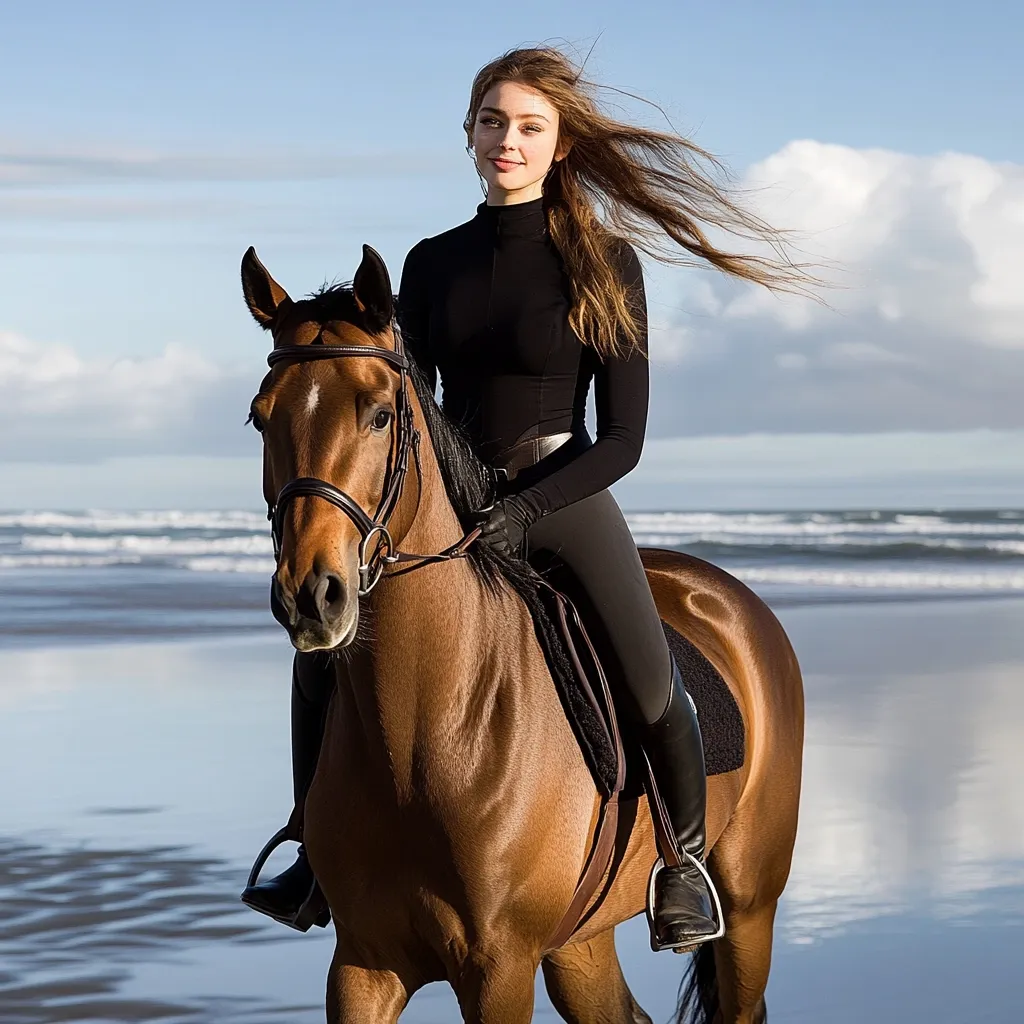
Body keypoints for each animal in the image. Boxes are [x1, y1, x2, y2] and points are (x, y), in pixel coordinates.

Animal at [240, 243, 804, 1024]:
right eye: (260, 419)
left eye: (379, 415)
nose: (311, 595)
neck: (426, 730)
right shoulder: (361, 964)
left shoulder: (498, 969)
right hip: (580, 942)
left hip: (749, 908)